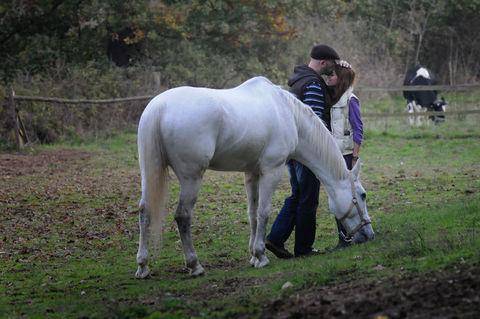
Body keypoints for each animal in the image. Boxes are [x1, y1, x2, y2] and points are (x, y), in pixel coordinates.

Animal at [135, 76, 376, 278]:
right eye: (363, 195)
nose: (369, 235)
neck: (288, 115)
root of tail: (159, 108)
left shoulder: (251, 173)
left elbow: (252, 214)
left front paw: (252, 255)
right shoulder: (272, 170)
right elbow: (263, 212)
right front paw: (261, 255)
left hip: (149, 173)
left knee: (145, 211)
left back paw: (143, 266)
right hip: (191, 178)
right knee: (182, 216)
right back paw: (195, 265)